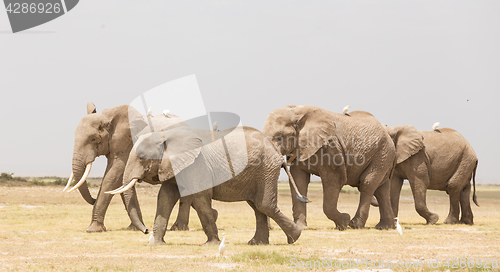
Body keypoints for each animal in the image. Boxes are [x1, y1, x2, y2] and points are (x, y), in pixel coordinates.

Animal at [64, 103, 188, 233]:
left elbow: (112, 177)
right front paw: (134, 228)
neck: (109, 117)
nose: (146, 230)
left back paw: (178, 228)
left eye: (93, 139)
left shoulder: (128, 145)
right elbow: (121, 182)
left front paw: (92, 230)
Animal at [111, 125, 302, 246]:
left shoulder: (197, 165)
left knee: (264, 205)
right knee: (257, 207)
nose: (145, 230)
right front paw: (156, 244)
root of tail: (276, 150)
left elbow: (200, 199)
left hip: (265, 169)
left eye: (142, 157)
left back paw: (295, 237)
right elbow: (165, 198)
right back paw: (257, 243)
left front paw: (211, 245)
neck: (166, 135)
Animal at [262, 105, 398, 231]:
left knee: (367, 184)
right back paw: (385, 227)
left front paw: (343, 222)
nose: (307, 200)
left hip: (382, 154)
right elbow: (299, 180)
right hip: (383, 156)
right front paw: (301, 227)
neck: (298, 113)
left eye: (279, 137)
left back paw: (355, 225)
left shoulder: (331, 147)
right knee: (381, 189)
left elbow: (334, 180)